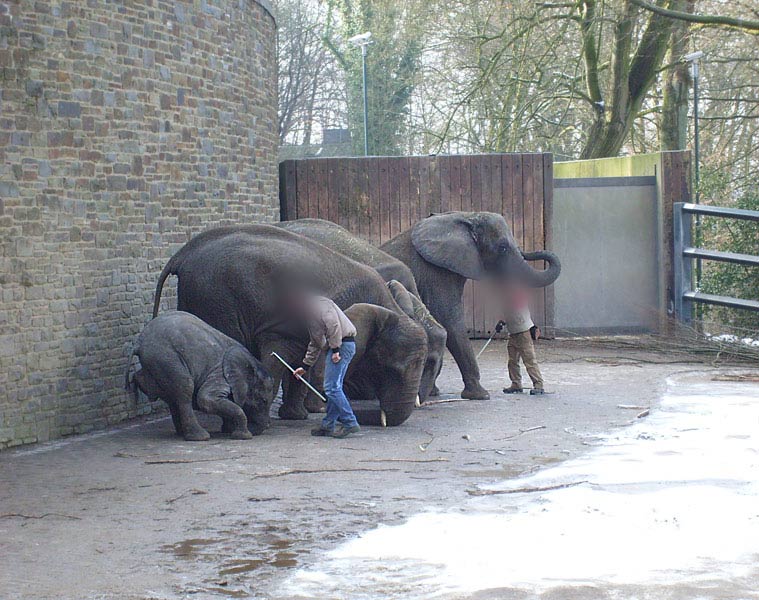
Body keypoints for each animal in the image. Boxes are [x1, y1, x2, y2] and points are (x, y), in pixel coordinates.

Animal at [125, 312, 276, 442]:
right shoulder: (219, 374)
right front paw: (243, 436)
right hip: (165, 357)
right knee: (185, 389)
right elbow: (205, 399)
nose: (255, 430)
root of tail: (139, 342)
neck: (251, 362)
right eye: (263, 401)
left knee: (171, 395)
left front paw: (230, 430)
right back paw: (200, 437)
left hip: (159, 362)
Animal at [151, 224, 430, 426]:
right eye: (392, 368)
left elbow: (304, 355)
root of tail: (181, 255)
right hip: (216, 299)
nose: (376, 418)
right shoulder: (284, 324)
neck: (388, 307)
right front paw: (262, 421)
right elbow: (280, 354)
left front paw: (295, 417)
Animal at [382, 211, 560, 398]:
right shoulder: (435, 271)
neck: (466, 216)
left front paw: (434, 392)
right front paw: (480, 396)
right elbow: (449, 320)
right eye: (503, 247)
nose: (525, 250)